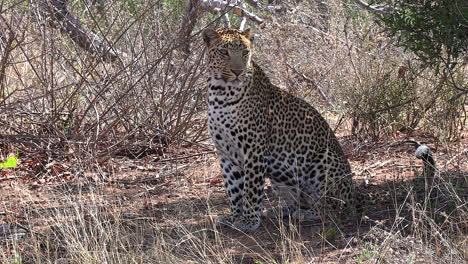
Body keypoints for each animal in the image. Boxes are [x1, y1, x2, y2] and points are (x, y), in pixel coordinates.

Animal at [203, 27, 356, 231]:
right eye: (224, 52)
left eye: (245, 52)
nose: (237, 71)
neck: (220, 93)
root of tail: (356, 196)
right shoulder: (225, 153)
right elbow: (233, 188)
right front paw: (233, 217)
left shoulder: (254, 149)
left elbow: (251, 188)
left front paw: (249, 220)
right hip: (281, 178)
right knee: (299, 201)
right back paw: (280, 210)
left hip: (324, 161)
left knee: (333, 207)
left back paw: (308, 213)